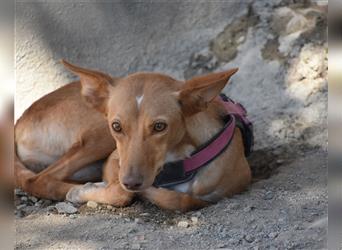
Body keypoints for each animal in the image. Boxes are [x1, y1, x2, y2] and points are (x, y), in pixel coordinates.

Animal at [14, 60, 252, 211]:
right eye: (117, 126)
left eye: (159, 126)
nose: (132, 182)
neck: (180, 162)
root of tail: (20, 120)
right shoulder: (115, 160)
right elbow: (121, 193)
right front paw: (85, 191)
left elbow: (183, 201)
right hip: (99, 137)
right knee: (39, 180)